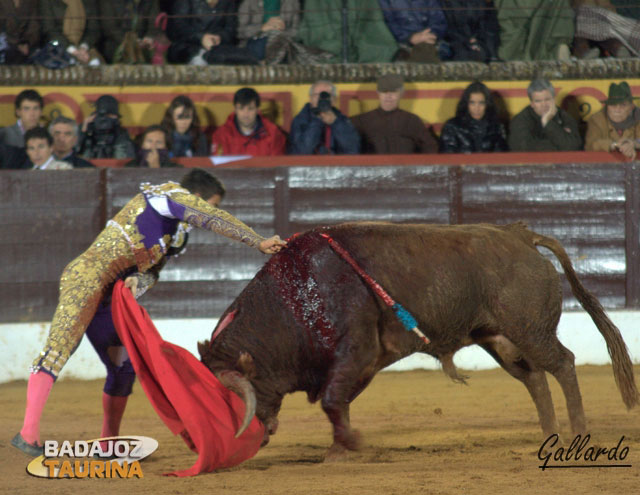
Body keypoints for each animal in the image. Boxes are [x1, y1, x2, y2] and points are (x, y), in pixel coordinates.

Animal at [198, 223, 636, 460]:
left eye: (233, 398)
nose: (240, 443)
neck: (294, 297)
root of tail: (520, 236)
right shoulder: (356, 365)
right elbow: (339, 402)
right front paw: (341, 447)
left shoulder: (356, 352)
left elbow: (332, 401)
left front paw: (346, 446)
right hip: (499, 338)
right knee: (534, 378)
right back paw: (547, 433)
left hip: (530, 329)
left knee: (562, 363)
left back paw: (576, 431)